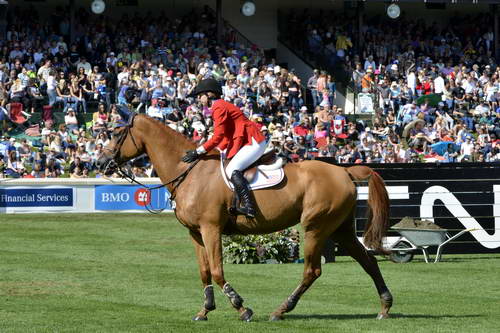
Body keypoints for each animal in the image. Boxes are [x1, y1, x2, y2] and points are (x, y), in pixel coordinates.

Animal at [97, 112, 392, 322]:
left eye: (117, 133)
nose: (100, 163)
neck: (189, 171)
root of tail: (344, 171)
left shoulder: (210, 228)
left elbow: (217, 271)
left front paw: (241, 308)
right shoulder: (195, 233)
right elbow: (204, 272)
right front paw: (205, 310)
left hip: (316, 228)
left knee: (313, 270)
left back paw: (281, 310)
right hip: (339, 229)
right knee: (368, 261)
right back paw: (385, 306)